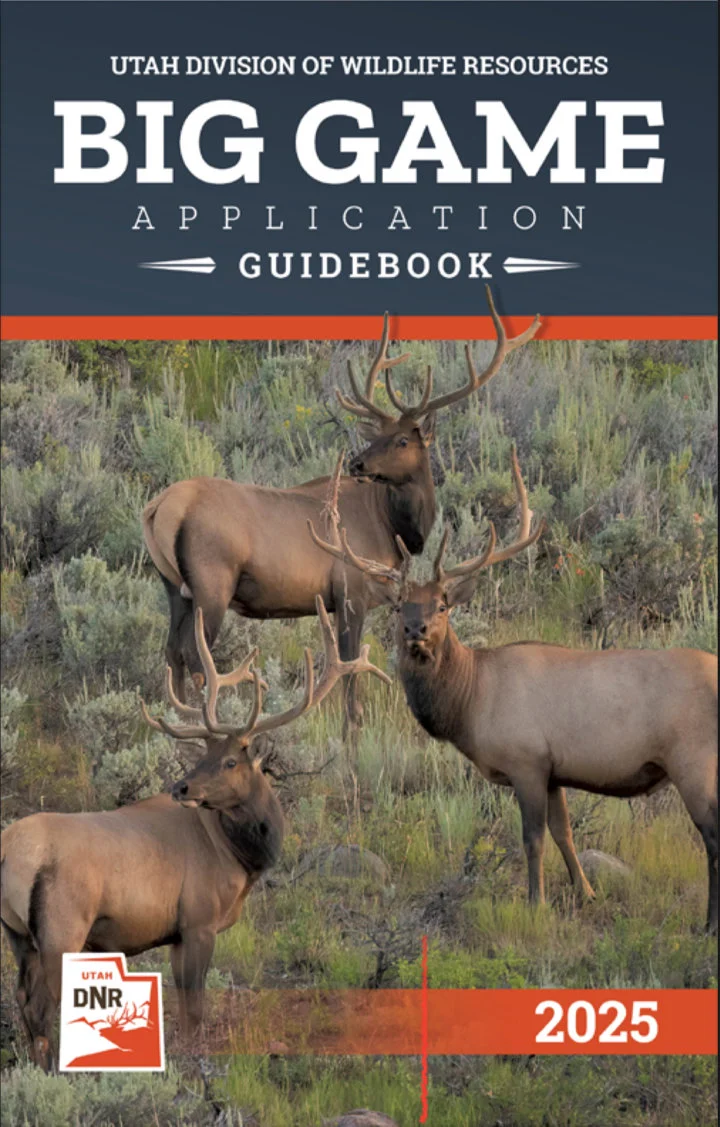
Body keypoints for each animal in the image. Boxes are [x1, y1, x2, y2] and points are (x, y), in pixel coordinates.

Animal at [0, 596, 390, 1070]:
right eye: (207, 753)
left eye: (228, 760)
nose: (181, 787)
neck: (238, 859)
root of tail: (9, 851)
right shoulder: (199, 919)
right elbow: (195, 1010)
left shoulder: (175, 933)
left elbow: (186, 1010)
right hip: (63, 926)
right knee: (45, 1006)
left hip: (17, 934)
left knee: (24, 1001)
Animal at [142, 287, 541, 732]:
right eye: (379, 435)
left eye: (401, 439)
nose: (357, 463)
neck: (393, 526)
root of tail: (160, 507)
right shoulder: (351, 591)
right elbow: (351, 674)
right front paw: (354, 730)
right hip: (212, 583)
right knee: (196, 656)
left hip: (172, 586)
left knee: (171, 653)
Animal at [309, 451, 719, 933]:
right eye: (398, 606)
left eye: (442, 605)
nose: (416, 630)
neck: (471, 702)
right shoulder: (554, 770)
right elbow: (565, 833)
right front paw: (586, 893)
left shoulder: (527, 760)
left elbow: (533, 838)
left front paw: (535, 902)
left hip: (693, 758)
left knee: (712, 835)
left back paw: (709, 924)